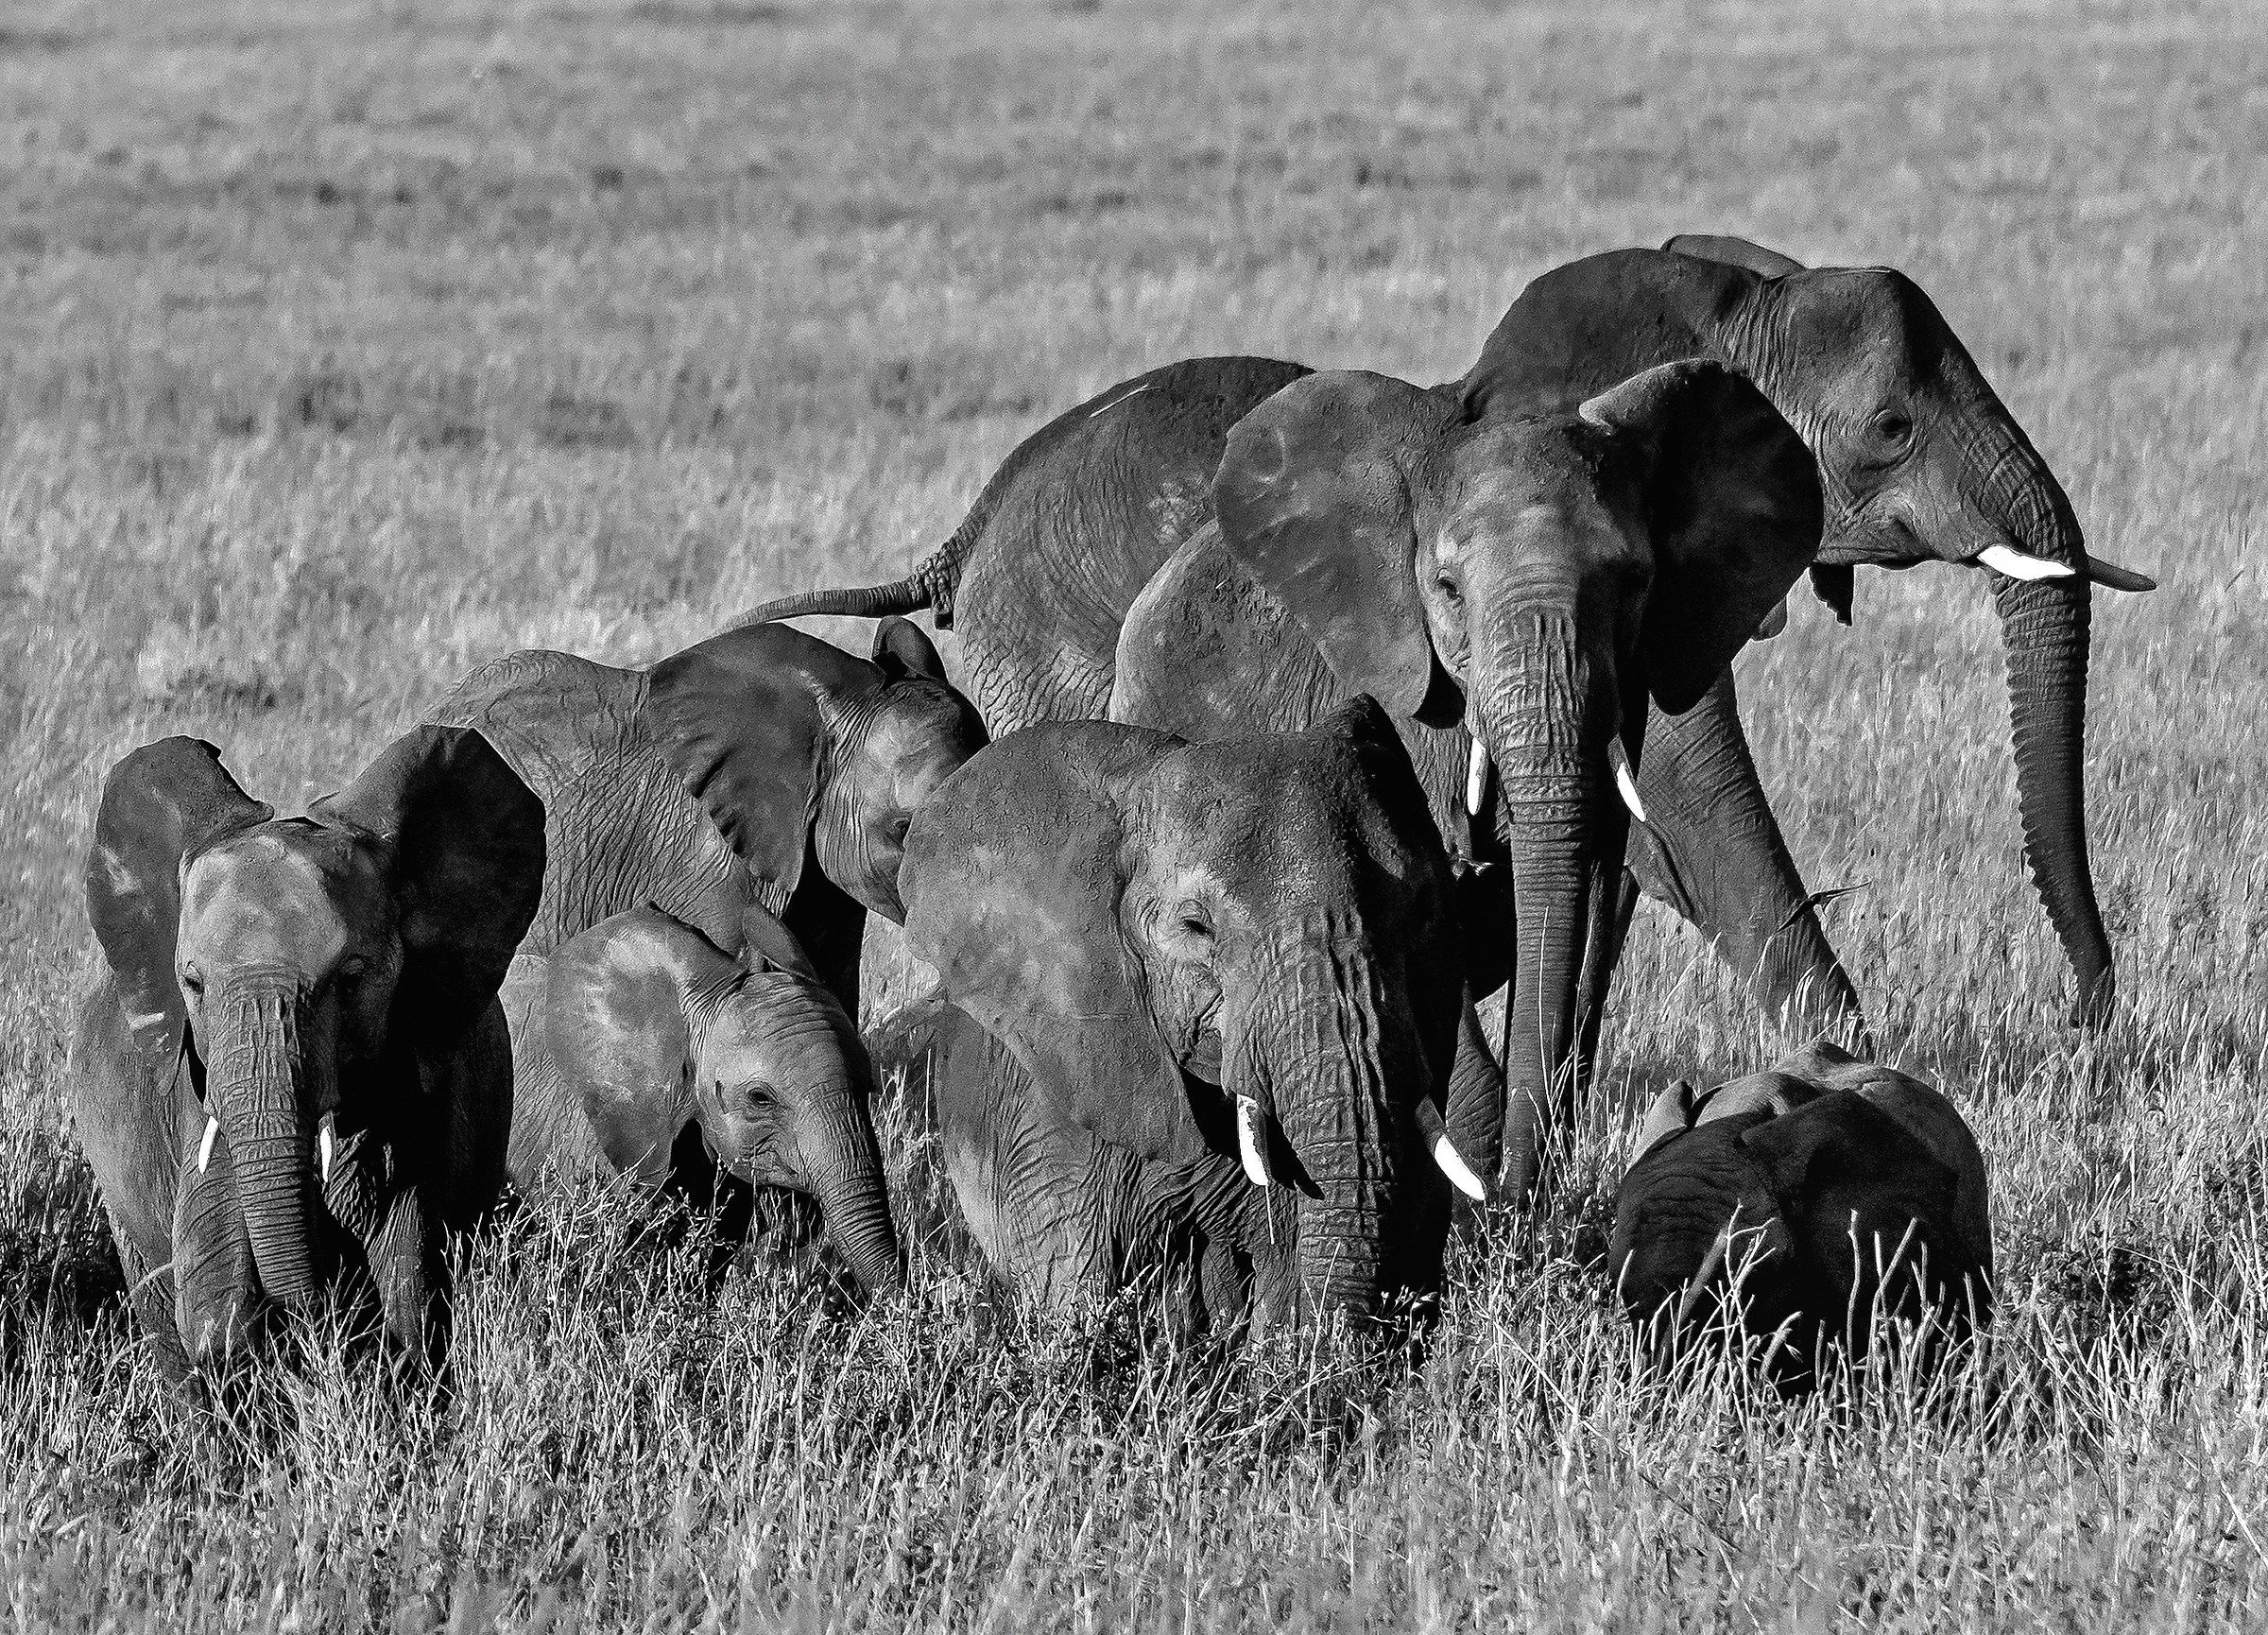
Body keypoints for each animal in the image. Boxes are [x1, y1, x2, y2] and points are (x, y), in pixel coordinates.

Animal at [68, 727, 545, 1382]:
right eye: (192, 983)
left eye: (350, 978)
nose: (310, 1311)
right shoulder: (197, 1084)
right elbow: (211, 1288)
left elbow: (408, 1265)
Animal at [733, 236, 2151, 1037]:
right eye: (1891, 429)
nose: (2090, 1019)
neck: (1731, 295)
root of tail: (970, 524)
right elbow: (1697, 803)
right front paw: (1853, 1061)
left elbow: (1622, 849)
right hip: (1043, 653)